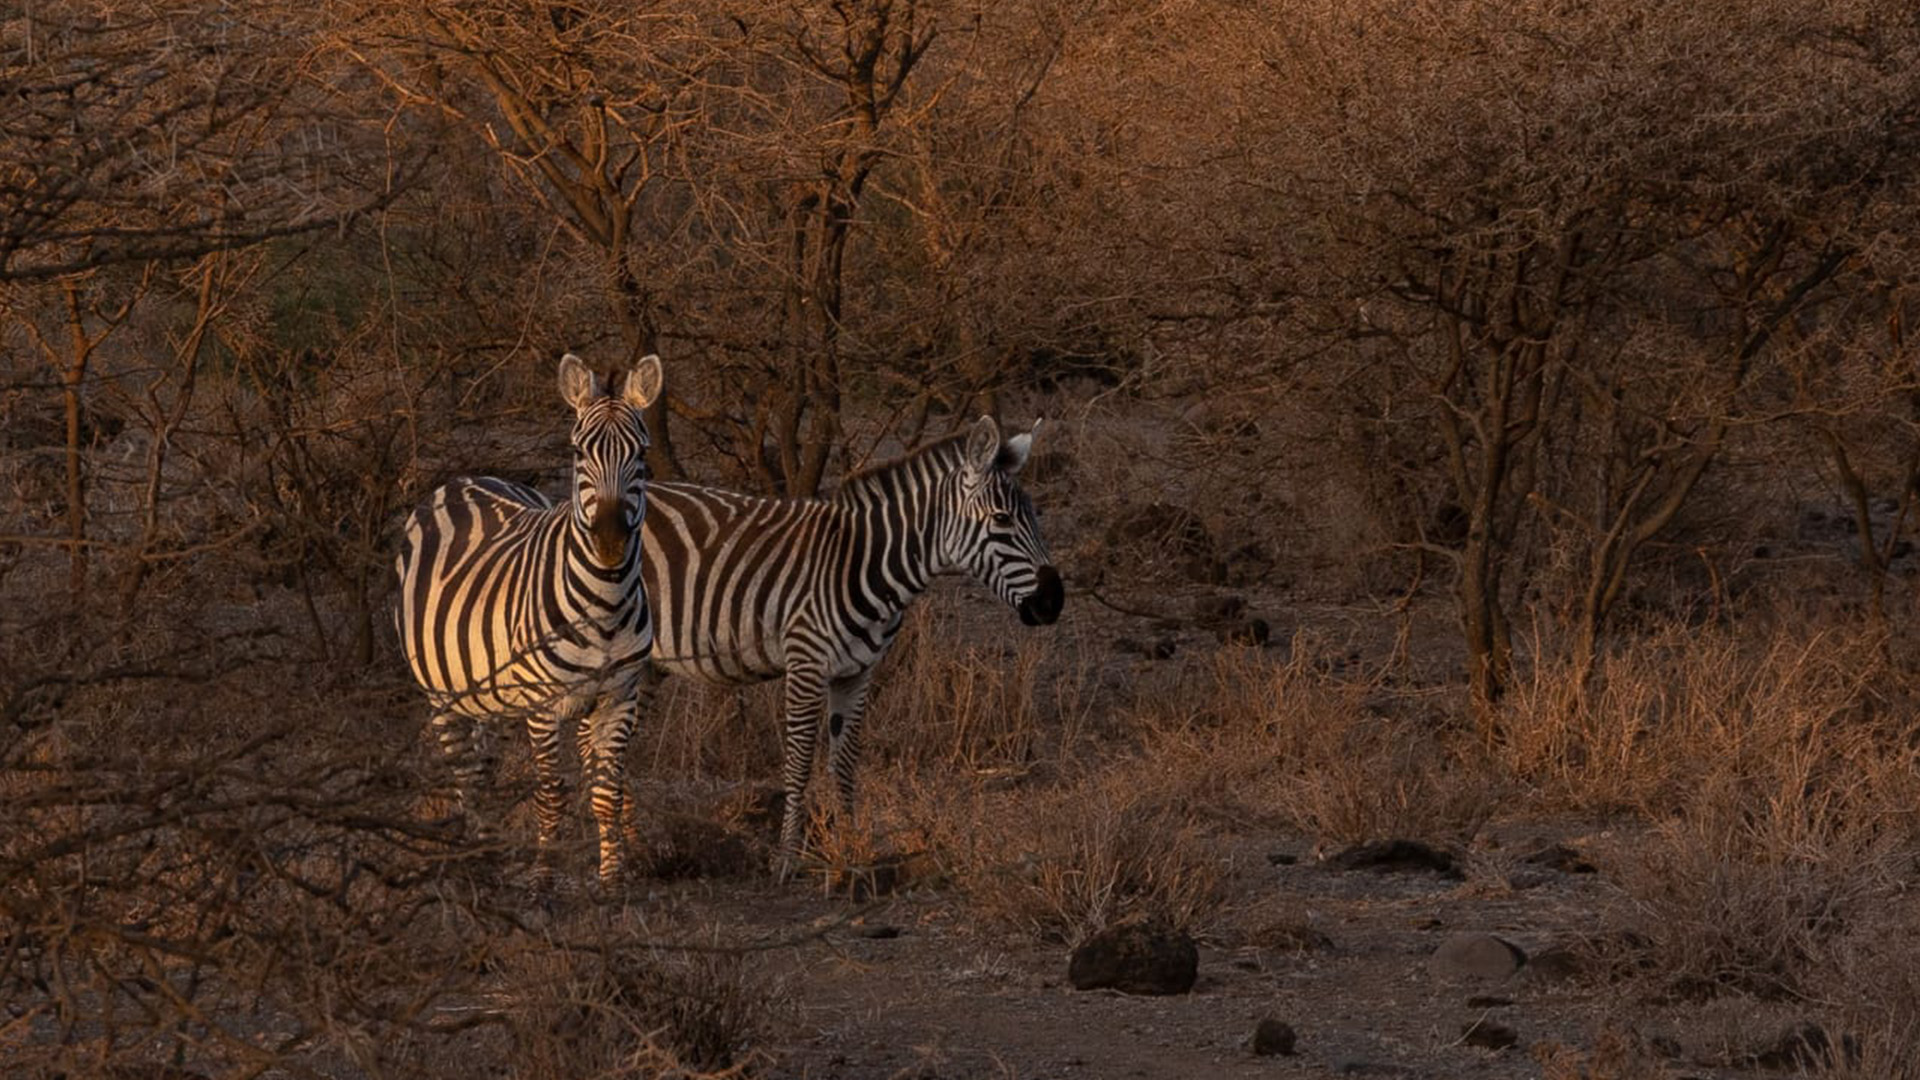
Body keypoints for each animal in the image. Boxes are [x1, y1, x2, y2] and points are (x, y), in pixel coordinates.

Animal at [393, 353, 662, 887]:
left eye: (641, 454)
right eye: (578, 453)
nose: (609, 542)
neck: (606, 603)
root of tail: (461, 480)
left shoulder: (620, 695)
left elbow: (607, 791)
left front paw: (612, 876)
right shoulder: (543, 703)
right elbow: (551, 794)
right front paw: (543, 875)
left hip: (490, 692)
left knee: (485, 766)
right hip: (441, 693)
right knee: (467, 774)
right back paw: (478, 857)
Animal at [638, 415, 1065, 876]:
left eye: (1036, 516)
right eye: (1002, 520)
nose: (1054, 601)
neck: (861, 563)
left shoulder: (858, 672)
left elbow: (843, 761)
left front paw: (851, 850)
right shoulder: (806, 663)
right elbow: (800, 761)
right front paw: (788, 859)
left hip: (644, 664)